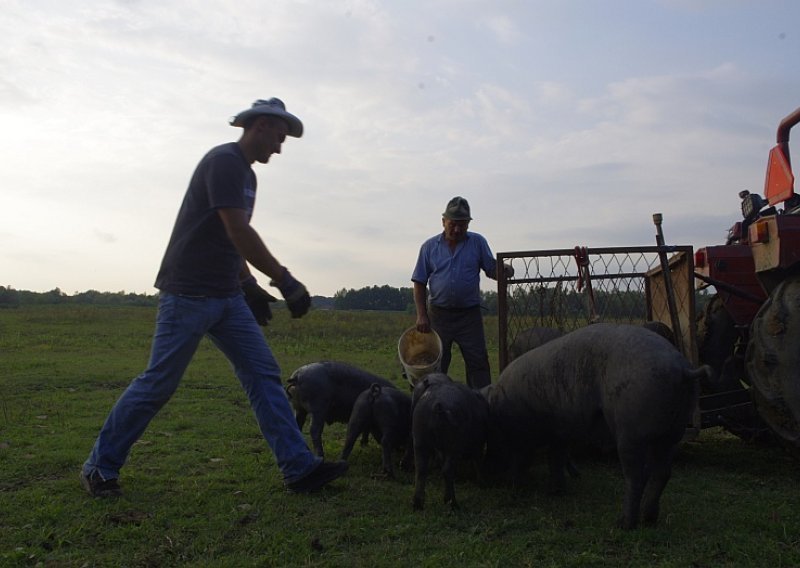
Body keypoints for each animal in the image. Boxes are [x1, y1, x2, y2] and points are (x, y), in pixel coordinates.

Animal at [412, 374, 488, 512]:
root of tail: (437, 405)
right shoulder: (478, 444)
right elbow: (478, 461)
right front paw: (482, 483)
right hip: (454, 446)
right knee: (447, 470)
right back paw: (452, 503)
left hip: (419, 441)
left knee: (421, 470)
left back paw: (417, 504)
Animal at [488, 324, 708, 528]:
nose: (501, 481)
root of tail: (682, 369)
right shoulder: (559, 433)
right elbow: (555, 459)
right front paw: (555, 491)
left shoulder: (526, 435)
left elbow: (525, 457)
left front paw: (518, 484)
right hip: (672, 433)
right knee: (662, 473)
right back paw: (649, 520)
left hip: (631, 432)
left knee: (636, 476)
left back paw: (623, 524)